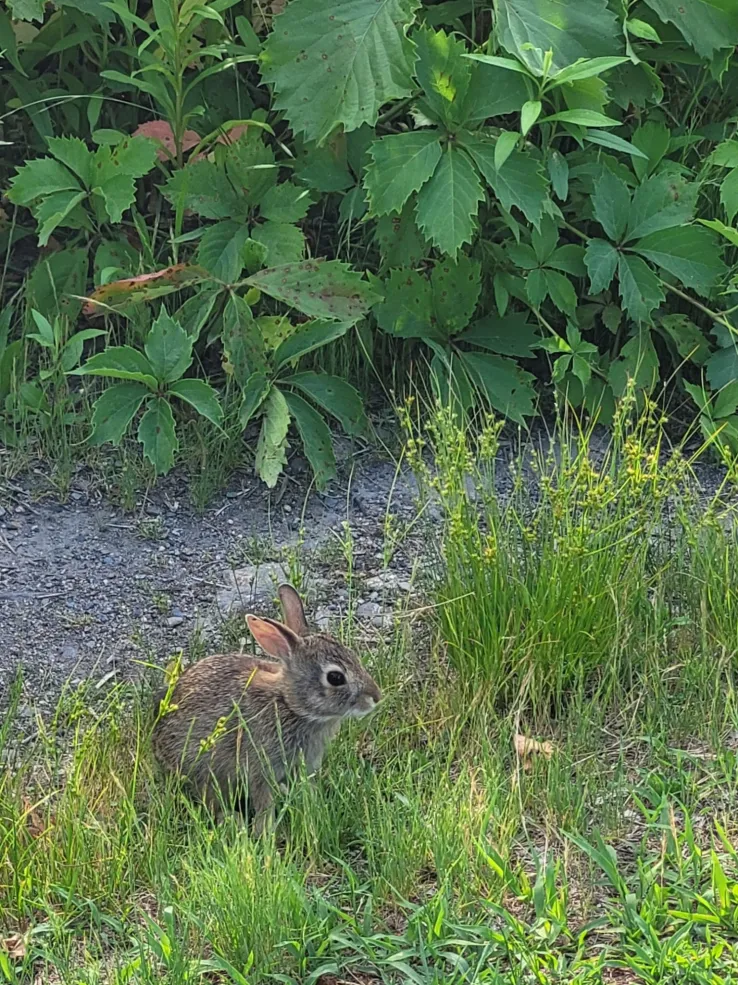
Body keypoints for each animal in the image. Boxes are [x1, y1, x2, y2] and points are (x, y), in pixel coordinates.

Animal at [152, 584, 382, 833]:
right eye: (336, 677)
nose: (376, 697)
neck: (291, 705)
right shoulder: (259, 768)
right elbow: (264, 801)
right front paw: (265, 831)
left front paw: (312, 807)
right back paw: (232, 820)